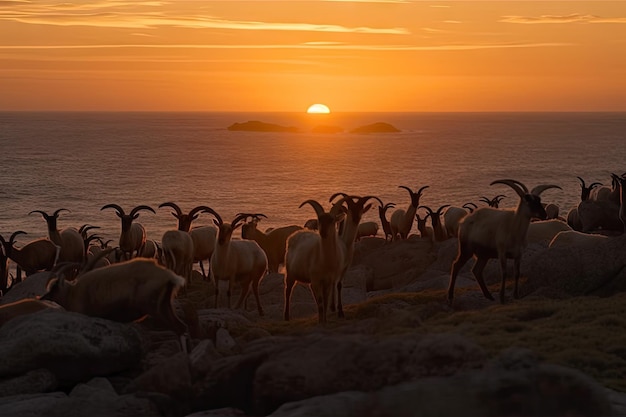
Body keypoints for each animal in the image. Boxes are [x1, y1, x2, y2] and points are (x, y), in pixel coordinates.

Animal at [40, 256, 188, 352]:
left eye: (55, 286)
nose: (42, 297)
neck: (72, 293)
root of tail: (169, 276)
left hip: (154, 308)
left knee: (178, 327)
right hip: (164, 305)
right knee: (181, 327)